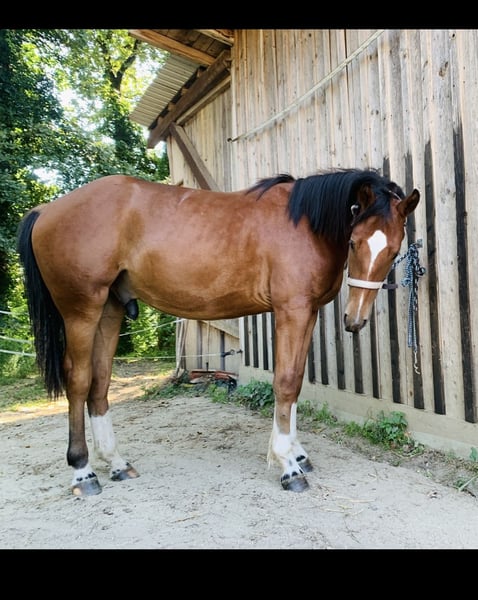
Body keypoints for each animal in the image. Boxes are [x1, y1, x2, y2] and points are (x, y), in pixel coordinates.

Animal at [16, 168, 419, 496]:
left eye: (393, 249)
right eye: (354, 242)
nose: (354, 320)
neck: (305, 223)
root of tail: (47, 210)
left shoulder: (305, 314)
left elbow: (294, 381)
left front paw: (294, 454)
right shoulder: (292, 310)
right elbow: (286, 382)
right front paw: (288, 466)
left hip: (110, 309)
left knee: (99, 382)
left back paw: (116, 463)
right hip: (82, 310)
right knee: (79, 380)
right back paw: (83, 473)